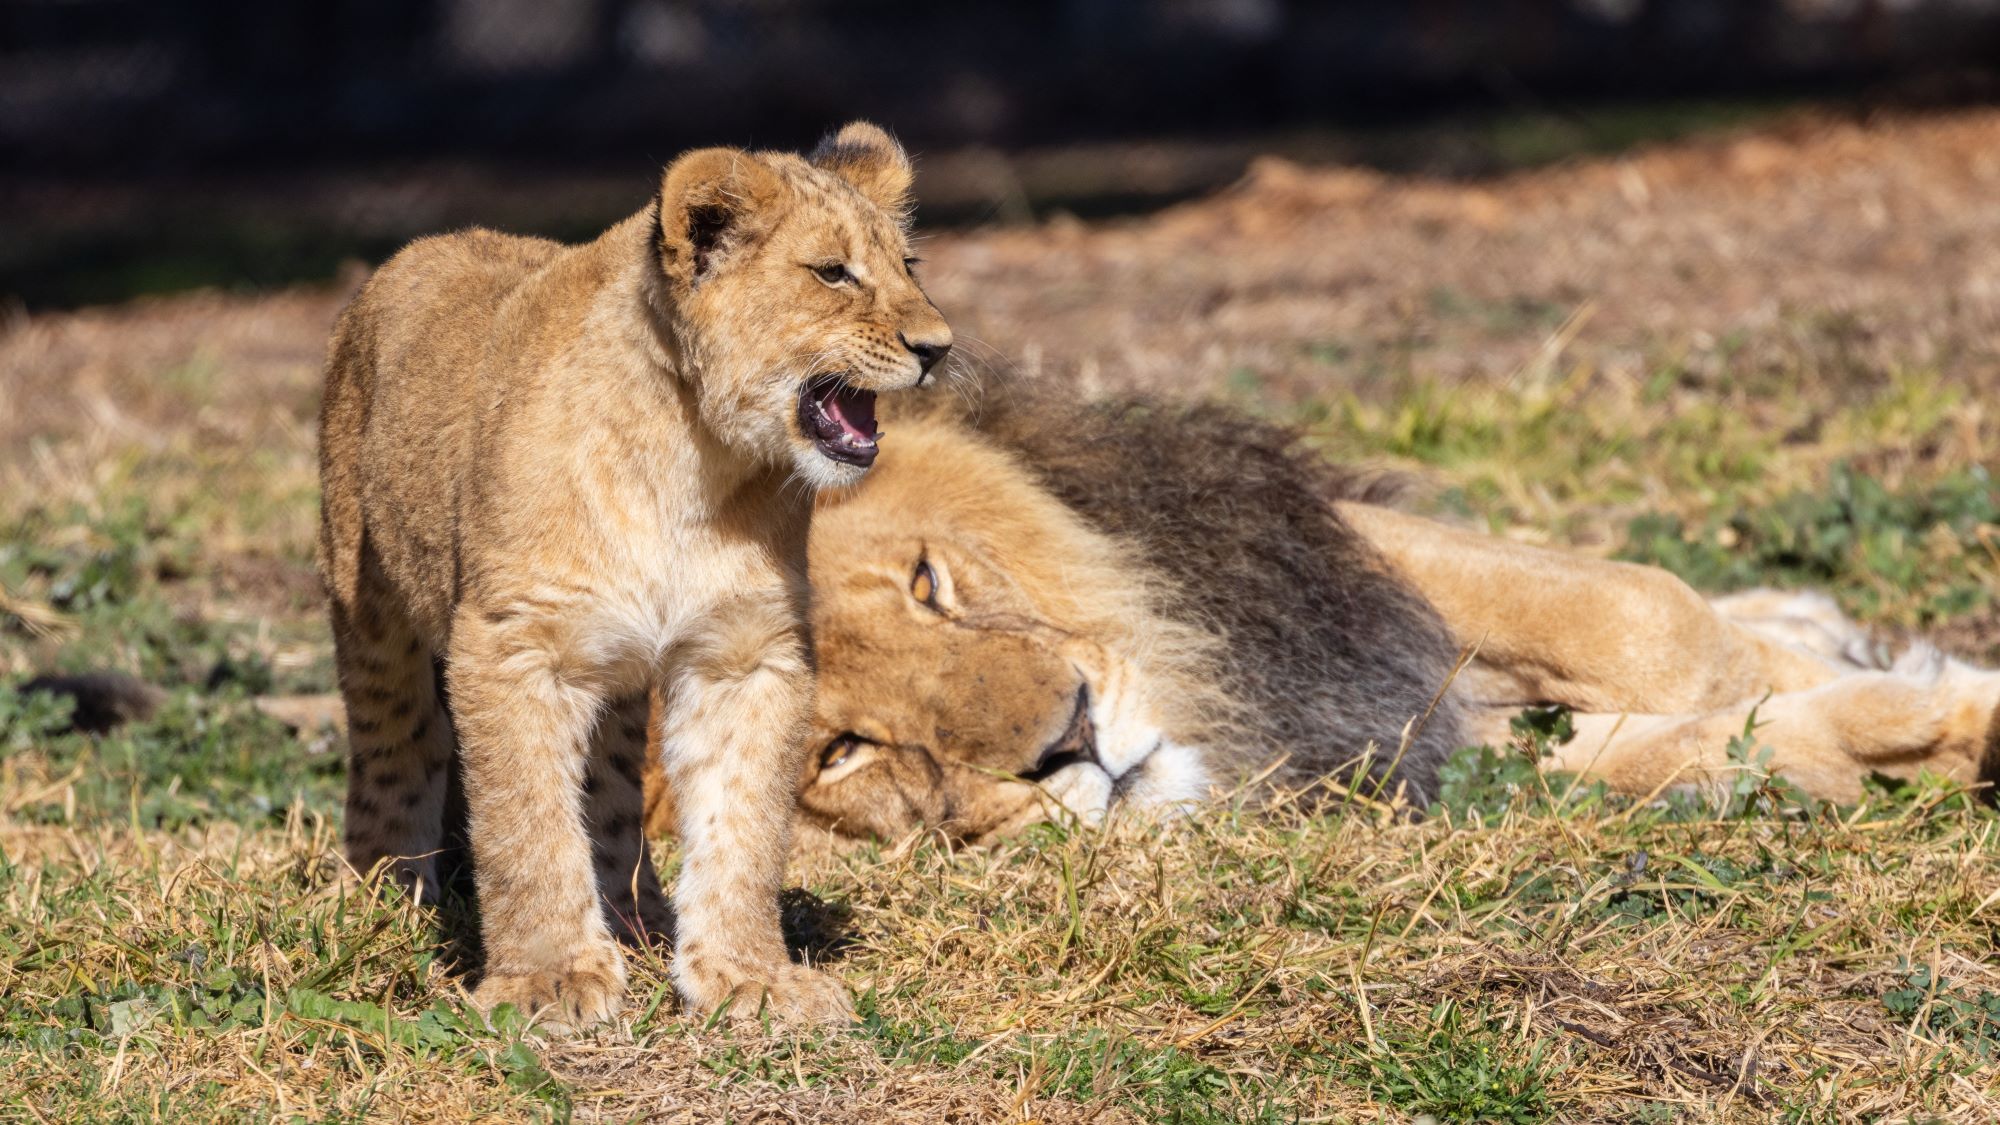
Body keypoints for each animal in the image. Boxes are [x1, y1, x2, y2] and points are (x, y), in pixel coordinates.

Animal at [318, 121, 950, 1029]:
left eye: (909, 266)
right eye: (833, 272)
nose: (938, 349)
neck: (693, 458)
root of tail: (415, 251)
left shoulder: (746, 653)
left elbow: (744, 824)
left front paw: (749, 975)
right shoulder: (513, 645)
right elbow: (526, 824)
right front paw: (547, 978)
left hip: (613, 675)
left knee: (608, 790)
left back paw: (638, 917)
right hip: (370, 610)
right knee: (395, 746)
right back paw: (382, 899)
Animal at [639, 387, 2000, 846]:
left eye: (928, 583)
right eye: (836, 752)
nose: (1072, 740)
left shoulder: (1300, 567)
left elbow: (1645, 617)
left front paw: (1918, 687)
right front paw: (1909, 735)